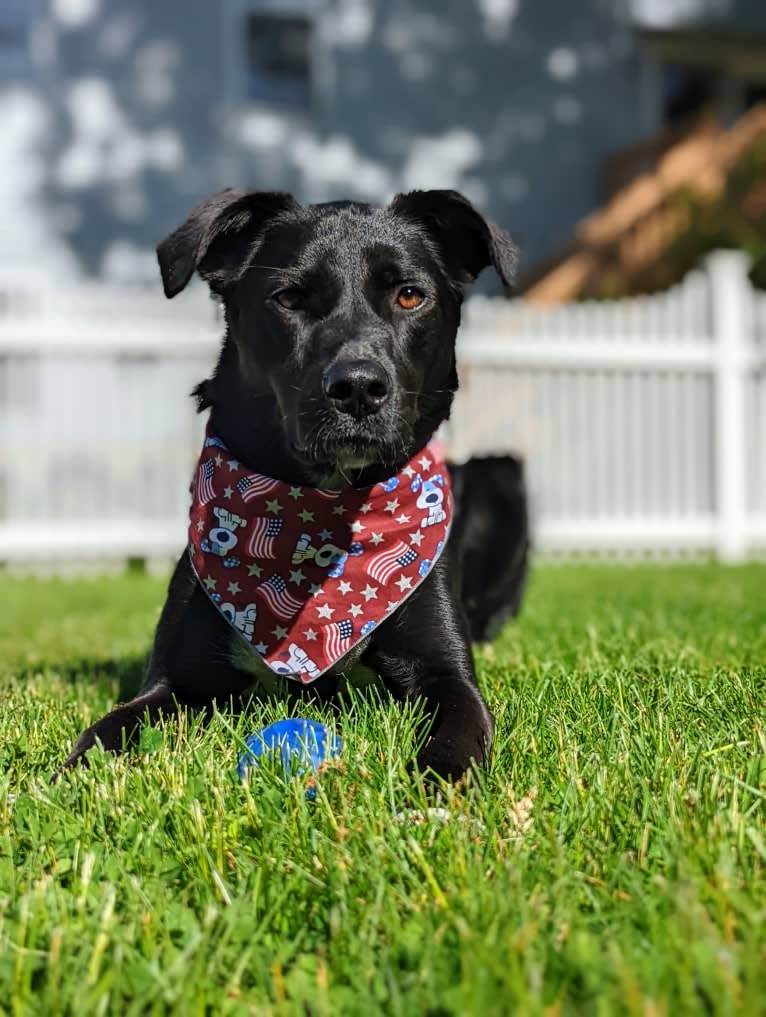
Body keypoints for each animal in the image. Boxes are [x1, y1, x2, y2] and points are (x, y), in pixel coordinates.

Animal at [58, 189, 514, 776]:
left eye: (410, 295)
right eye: (290, 298)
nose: (358, 387)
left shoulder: (449, 677)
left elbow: (456, 740)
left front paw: (433, 786)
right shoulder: (176, 682)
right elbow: (110, 728)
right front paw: (63, 780)